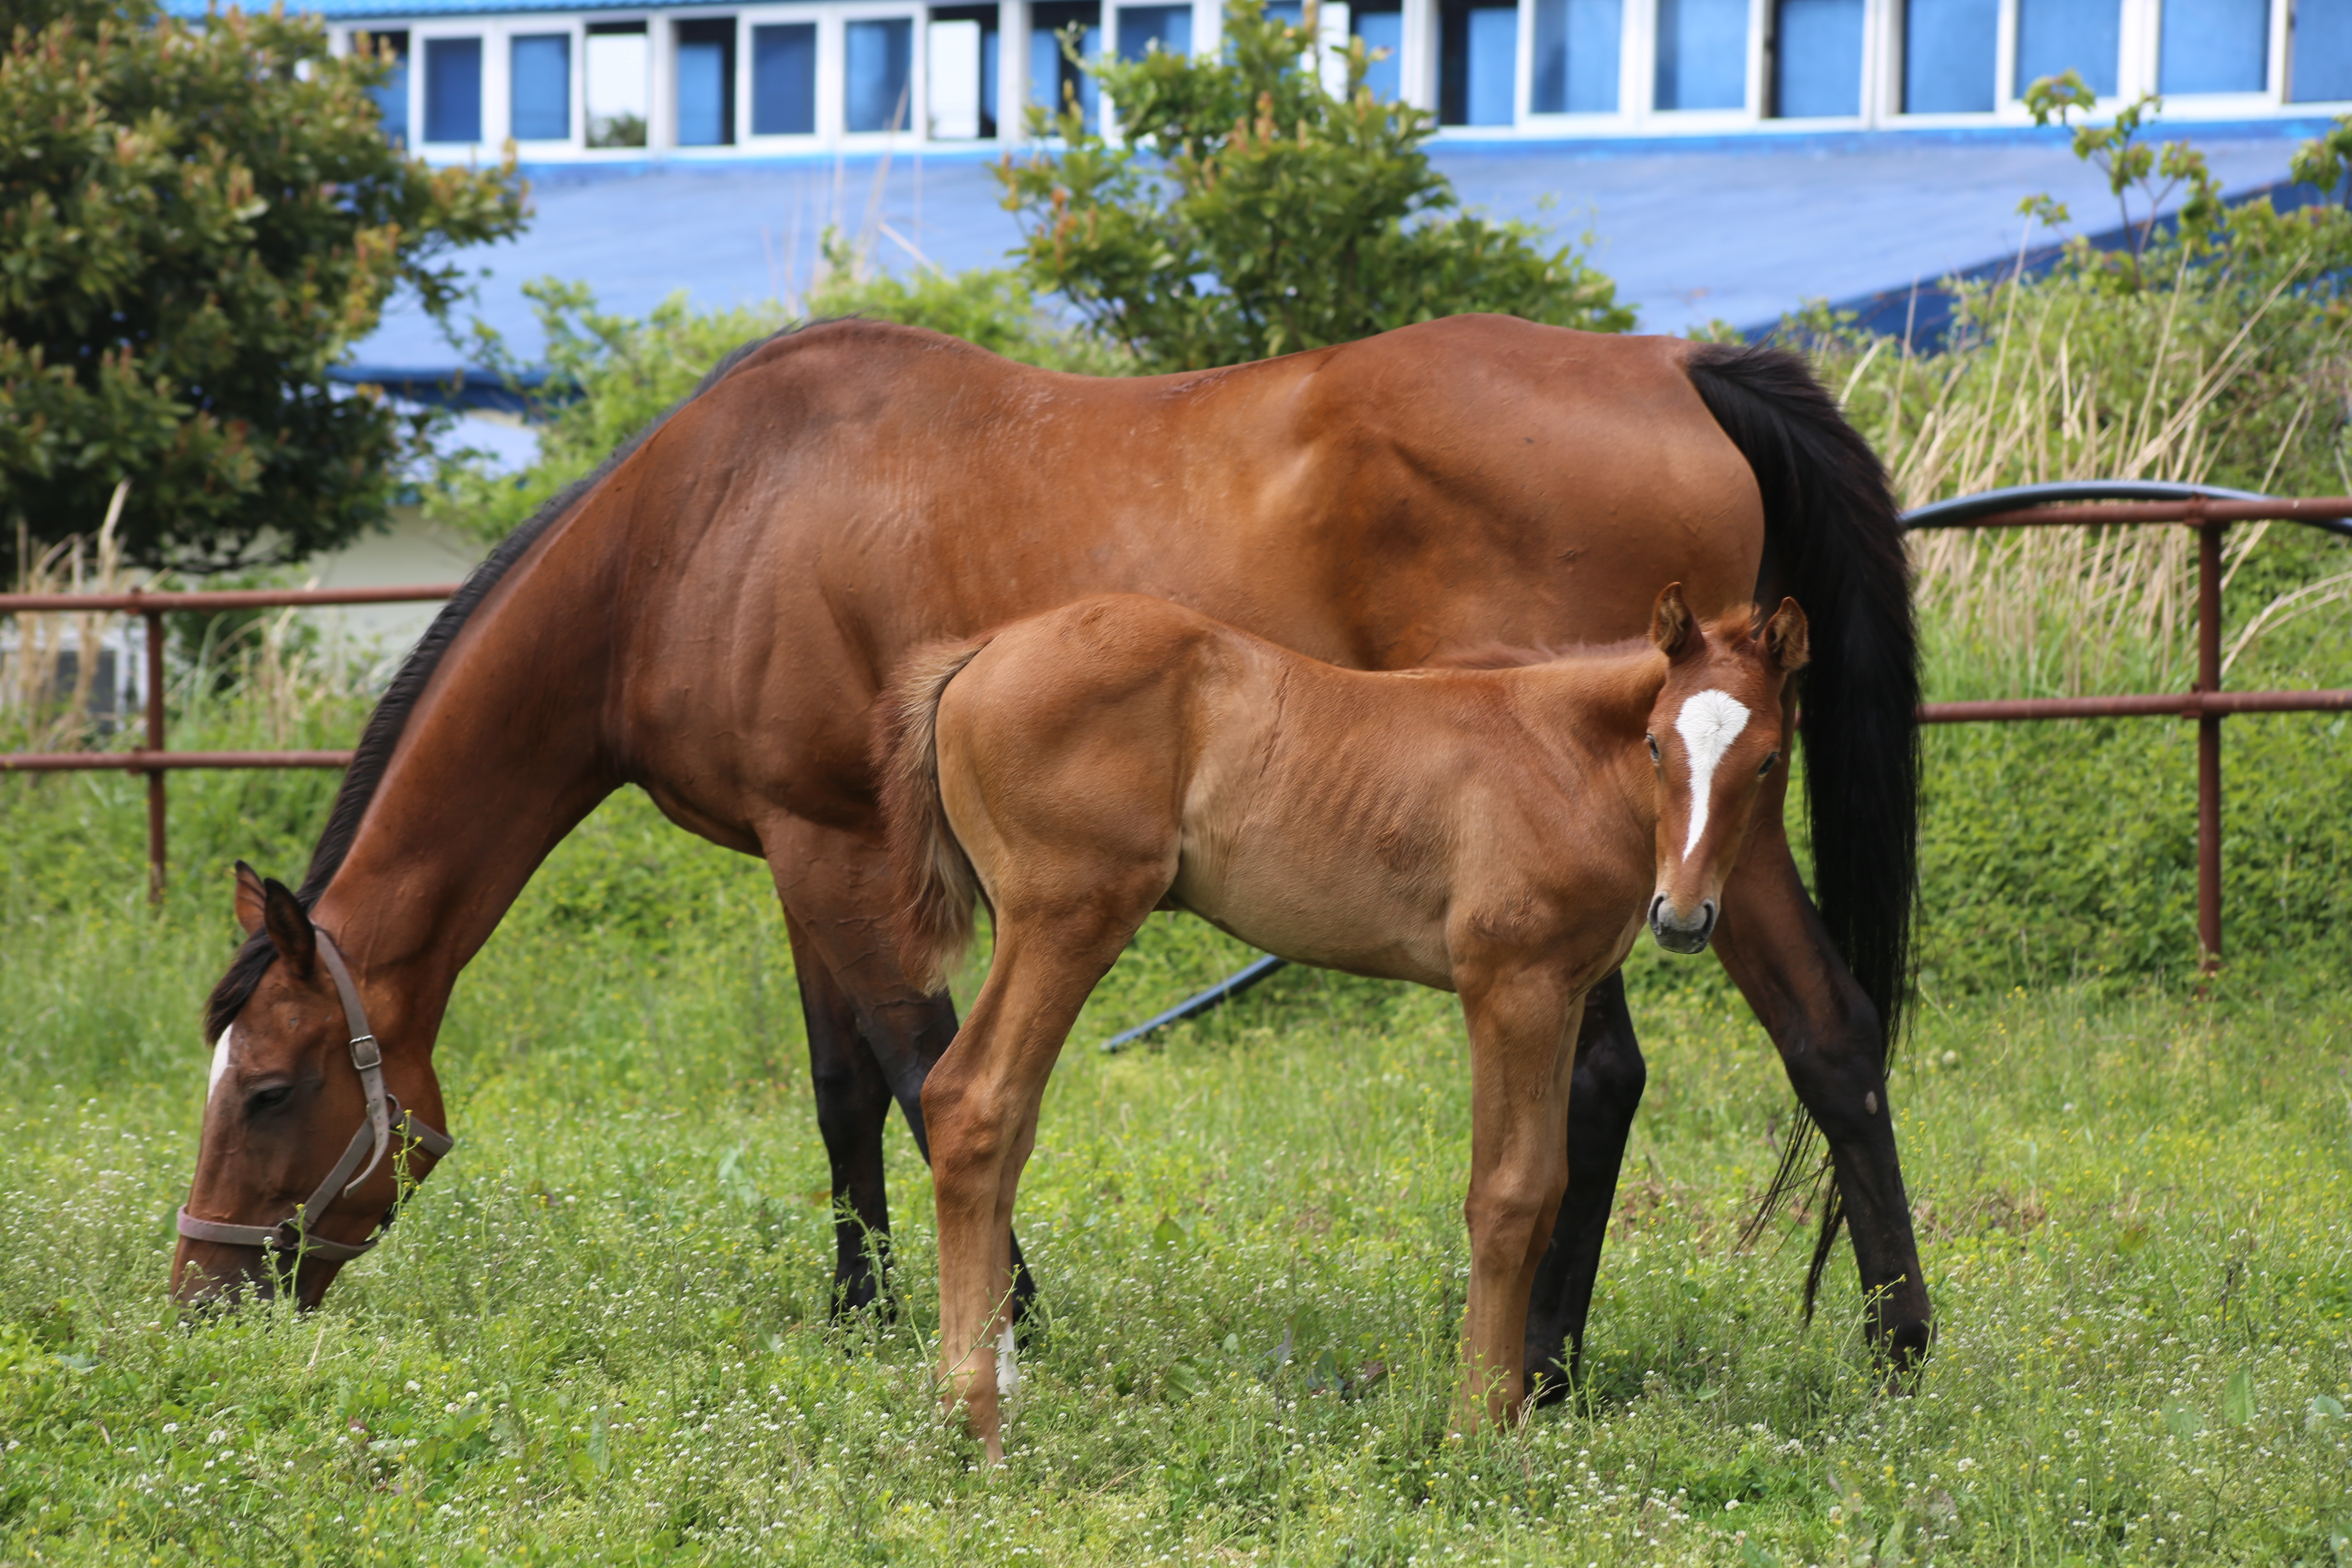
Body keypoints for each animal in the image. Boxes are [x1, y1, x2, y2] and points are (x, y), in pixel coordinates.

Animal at [884, 585, 1815, 1457]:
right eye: (1657, 743)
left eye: (1770, 759)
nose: (1683, 917)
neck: (1562, 758)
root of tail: (980, 655)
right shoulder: (1510, 987)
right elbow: (1507, 1197)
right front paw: (1474, 1429)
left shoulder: (1564, 992)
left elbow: (1548, 1189)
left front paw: (1510, 1423)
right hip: (1068, 918)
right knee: (973, 1101)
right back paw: (976, 1417)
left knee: (1011, 1123)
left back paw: (1002, 1386)